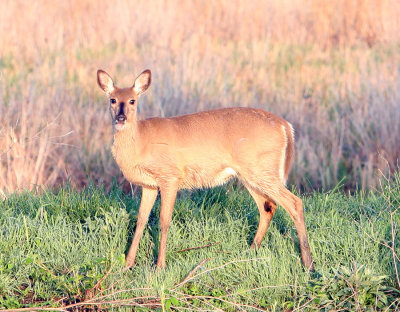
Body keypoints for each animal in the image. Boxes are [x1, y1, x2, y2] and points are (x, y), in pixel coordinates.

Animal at [97, 68, 316, 270]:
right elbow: (141, 220)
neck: (140, 142)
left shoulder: (170, 177)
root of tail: (285, 126)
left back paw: (308, 264)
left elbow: (164, 220)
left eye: (132, 101)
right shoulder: (149, 185)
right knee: (268, 206)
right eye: (113, 100)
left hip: (261, 170)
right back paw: (250, 251)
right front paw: (127, 264)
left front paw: (159, 266)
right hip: (250, 175)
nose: (121, 118)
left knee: (295, 203)